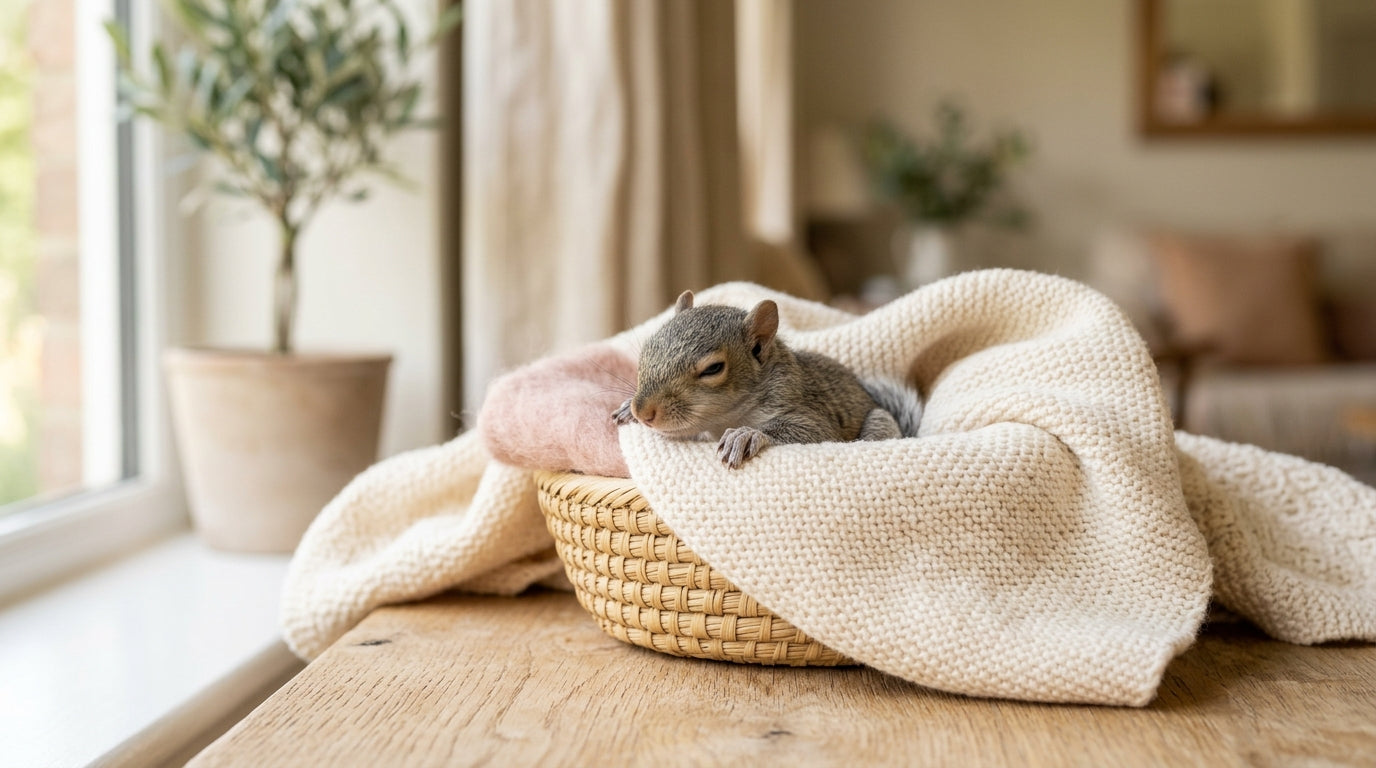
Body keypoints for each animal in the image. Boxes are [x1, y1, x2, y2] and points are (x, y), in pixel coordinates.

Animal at [613, 290, 922, 468]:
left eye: (713, 369)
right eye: (648, 346)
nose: (642, 412)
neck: (724, 419)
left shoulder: (805, 409)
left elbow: (815, 431)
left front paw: (746, 434)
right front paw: (625, 408)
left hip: (879, 422)